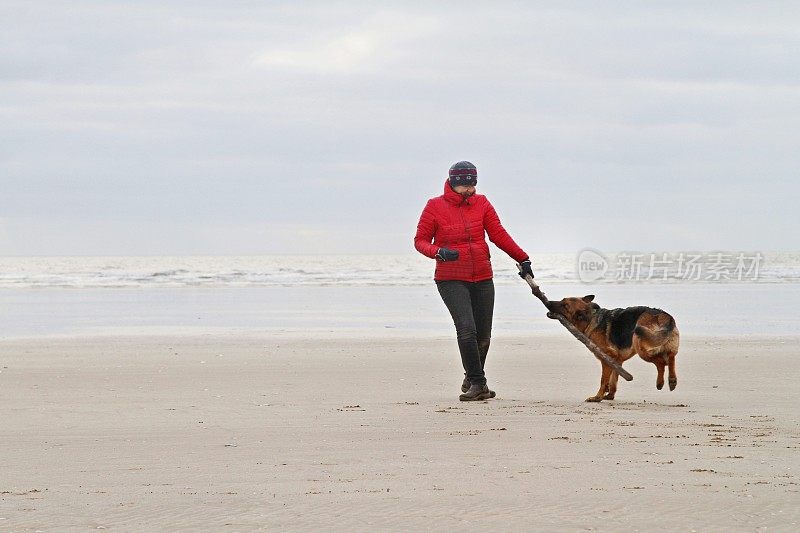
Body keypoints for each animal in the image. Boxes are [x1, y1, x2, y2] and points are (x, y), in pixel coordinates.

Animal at [552, 294, 680, 402]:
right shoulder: (616, 361)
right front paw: (609, 395)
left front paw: (597, 397)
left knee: (662, 362)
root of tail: (663, 316)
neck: (591, 318)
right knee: (671, 357)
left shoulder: (608, 358)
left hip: (641, 347)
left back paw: (662, 382)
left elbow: (604, 380)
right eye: (562, 300)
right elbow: (613, 380)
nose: (548, 302)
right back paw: (671, 380)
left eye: (565, 306)